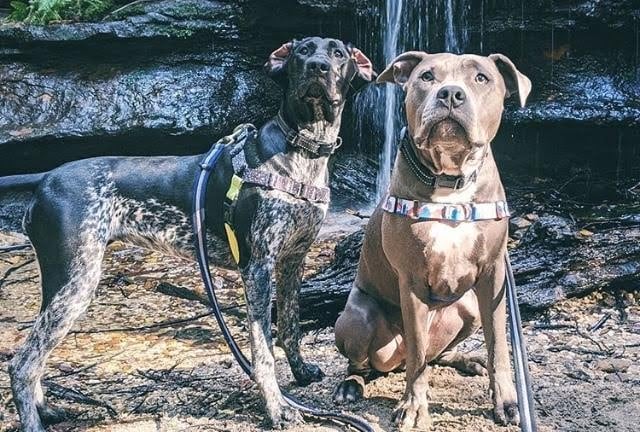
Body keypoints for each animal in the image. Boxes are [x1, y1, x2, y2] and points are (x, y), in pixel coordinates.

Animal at [3, 38, 376, 432]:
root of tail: (46, 178)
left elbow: (289, 325)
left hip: (62, 284)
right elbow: (262, 350)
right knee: (22, 363)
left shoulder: (293, 260)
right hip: (75, 283)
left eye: (338, 54)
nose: (318, 66)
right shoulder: (257, 268)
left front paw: (301, 372)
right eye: (302, 51)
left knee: (35, 353)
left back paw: (46, 409)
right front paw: (277, 407)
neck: (302, 153)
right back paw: (33, 420)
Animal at [332, 50, 532, 428]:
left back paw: (465, 360)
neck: (450, 184)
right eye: (426, 76)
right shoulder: (411, 281)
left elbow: (498, 346)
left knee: (438, 353)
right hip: (357, 317)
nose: (451, 94)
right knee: (365, 363)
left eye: (481, 78)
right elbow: (418, 355)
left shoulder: (493, 277)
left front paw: (507, 401)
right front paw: (412, 407)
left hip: (469, 307)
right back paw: (350, 386)